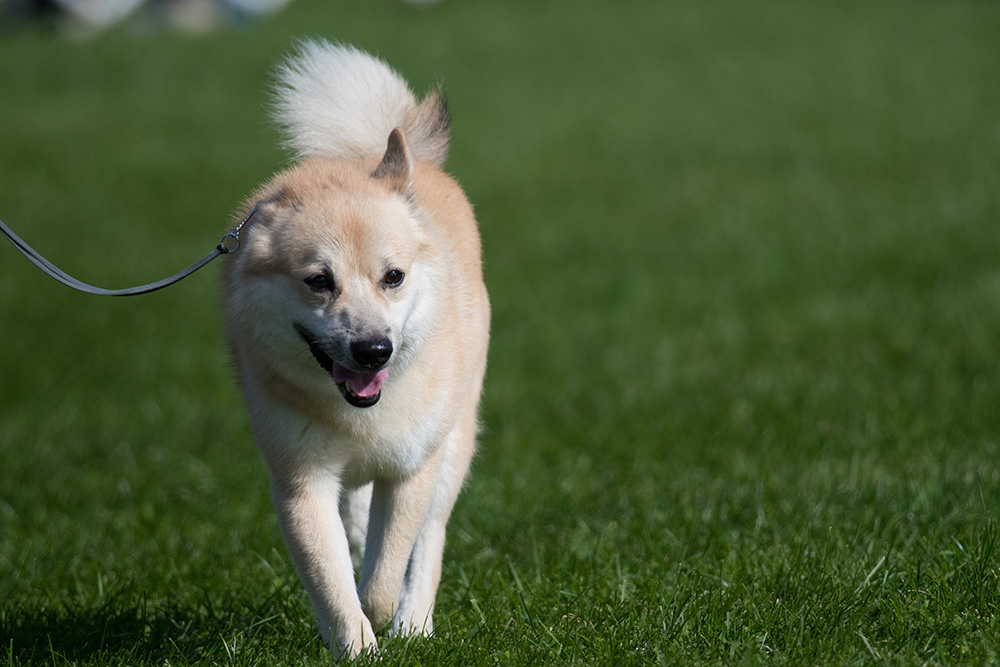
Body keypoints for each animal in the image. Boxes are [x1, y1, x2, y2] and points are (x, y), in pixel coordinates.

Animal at [225, 41, 494, 656]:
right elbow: (332, 582)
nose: (374, 350)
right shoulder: (301, 481)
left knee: (430, 539)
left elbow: (382, 578)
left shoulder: (412, 470)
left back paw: (416, 623)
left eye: (393, 276)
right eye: (319, 281)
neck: (359, 415)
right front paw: (354, 647)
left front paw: (388, 621)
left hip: (454, 444)